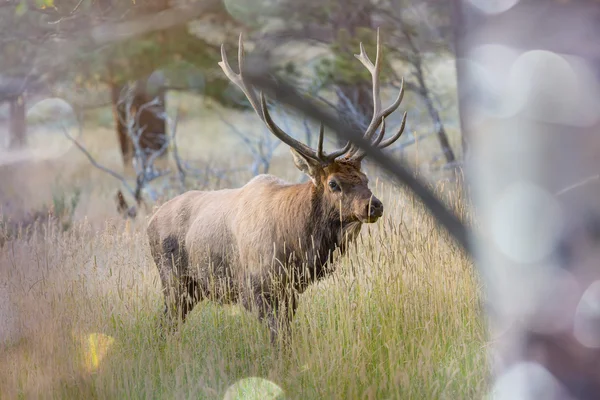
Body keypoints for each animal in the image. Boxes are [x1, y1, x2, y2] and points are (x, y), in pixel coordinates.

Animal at [146, 31, 408, 344]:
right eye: (333, 183)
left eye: (365, 178)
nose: (374, 205)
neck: (297, 244)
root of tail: (149, 221)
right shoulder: (255, 288)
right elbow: (278, 339)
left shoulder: (291, 291)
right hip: (173, 280)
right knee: (165, 323)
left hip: (192, 289)